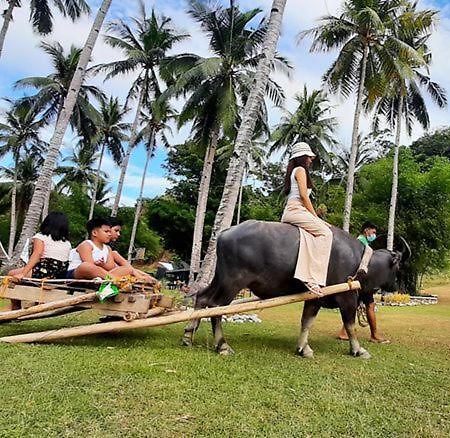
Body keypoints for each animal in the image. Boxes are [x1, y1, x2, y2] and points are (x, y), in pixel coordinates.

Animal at [182, 221, 404, 358]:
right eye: (397, 268)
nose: (394, 286)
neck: (359, 261)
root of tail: (224, 234)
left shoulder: (315, 297)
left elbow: (307, 321)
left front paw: (303, 348)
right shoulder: (346, 295)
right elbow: (350, 324)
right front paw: (358, 350)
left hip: (220, 278)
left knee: (202, 298)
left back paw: (188, 335)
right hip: (232, 283)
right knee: (216, 308)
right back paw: (222, 345)